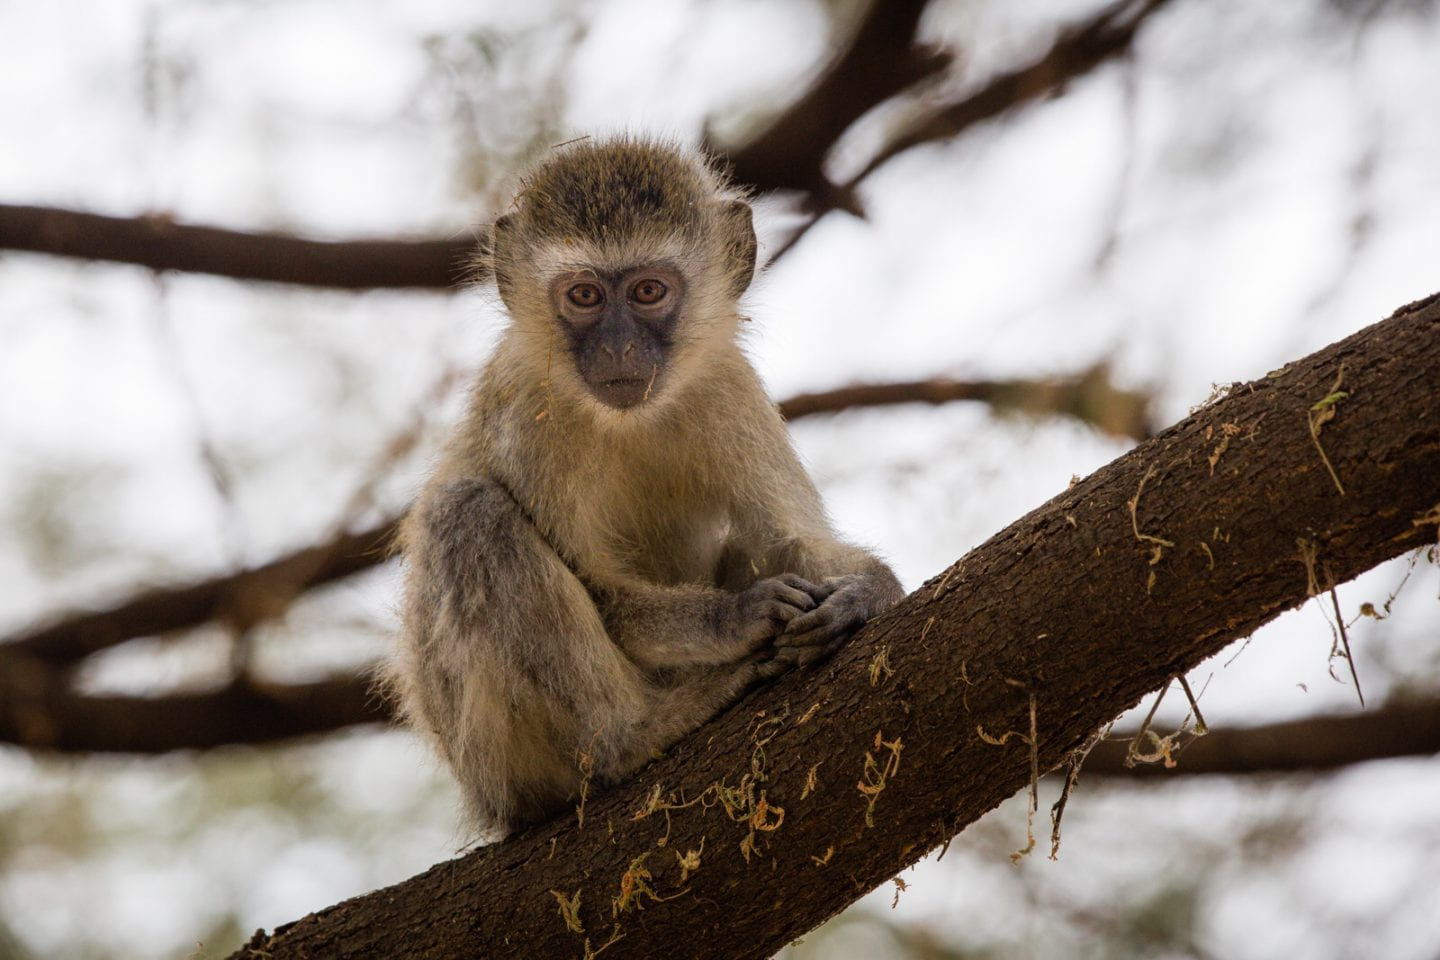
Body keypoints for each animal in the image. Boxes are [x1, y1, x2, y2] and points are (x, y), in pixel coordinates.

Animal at [386, 136, 903, 837]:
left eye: (648, 290)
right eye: (584, 296)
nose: (618, 348)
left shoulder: (731, 388)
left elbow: (788, 539)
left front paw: (867, 591)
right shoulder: (526, 407)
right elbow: (601, 588)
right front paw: (735, 617)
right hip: (493, 758)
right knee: (468, 514)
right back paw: (633, 734)